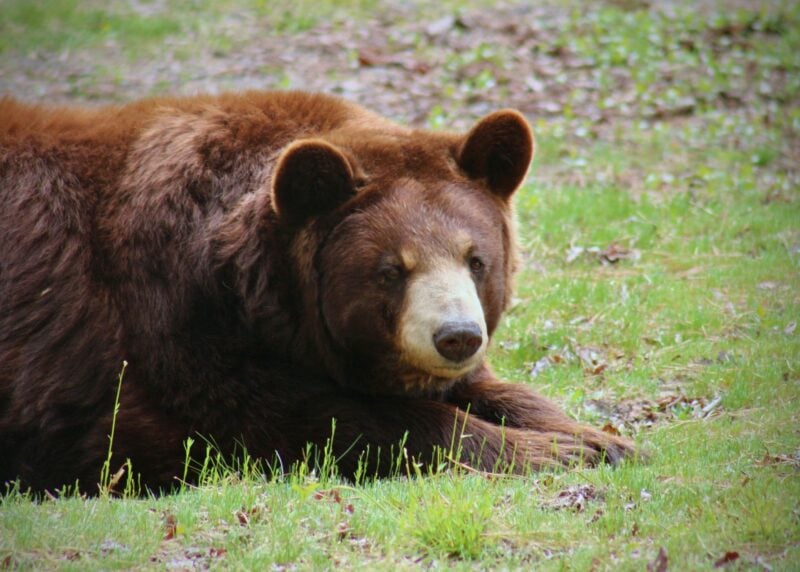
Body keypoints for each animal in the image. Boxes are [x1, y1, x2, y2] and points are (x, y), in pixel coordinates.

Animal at [0, 91, 638, 493]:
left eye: (476, 259)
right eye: (391, 269)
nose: (456, 336)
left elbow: (499, 391)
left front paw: (600, 440)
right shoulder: (172, 339)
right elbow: (328, 421)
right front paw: (552, 453)